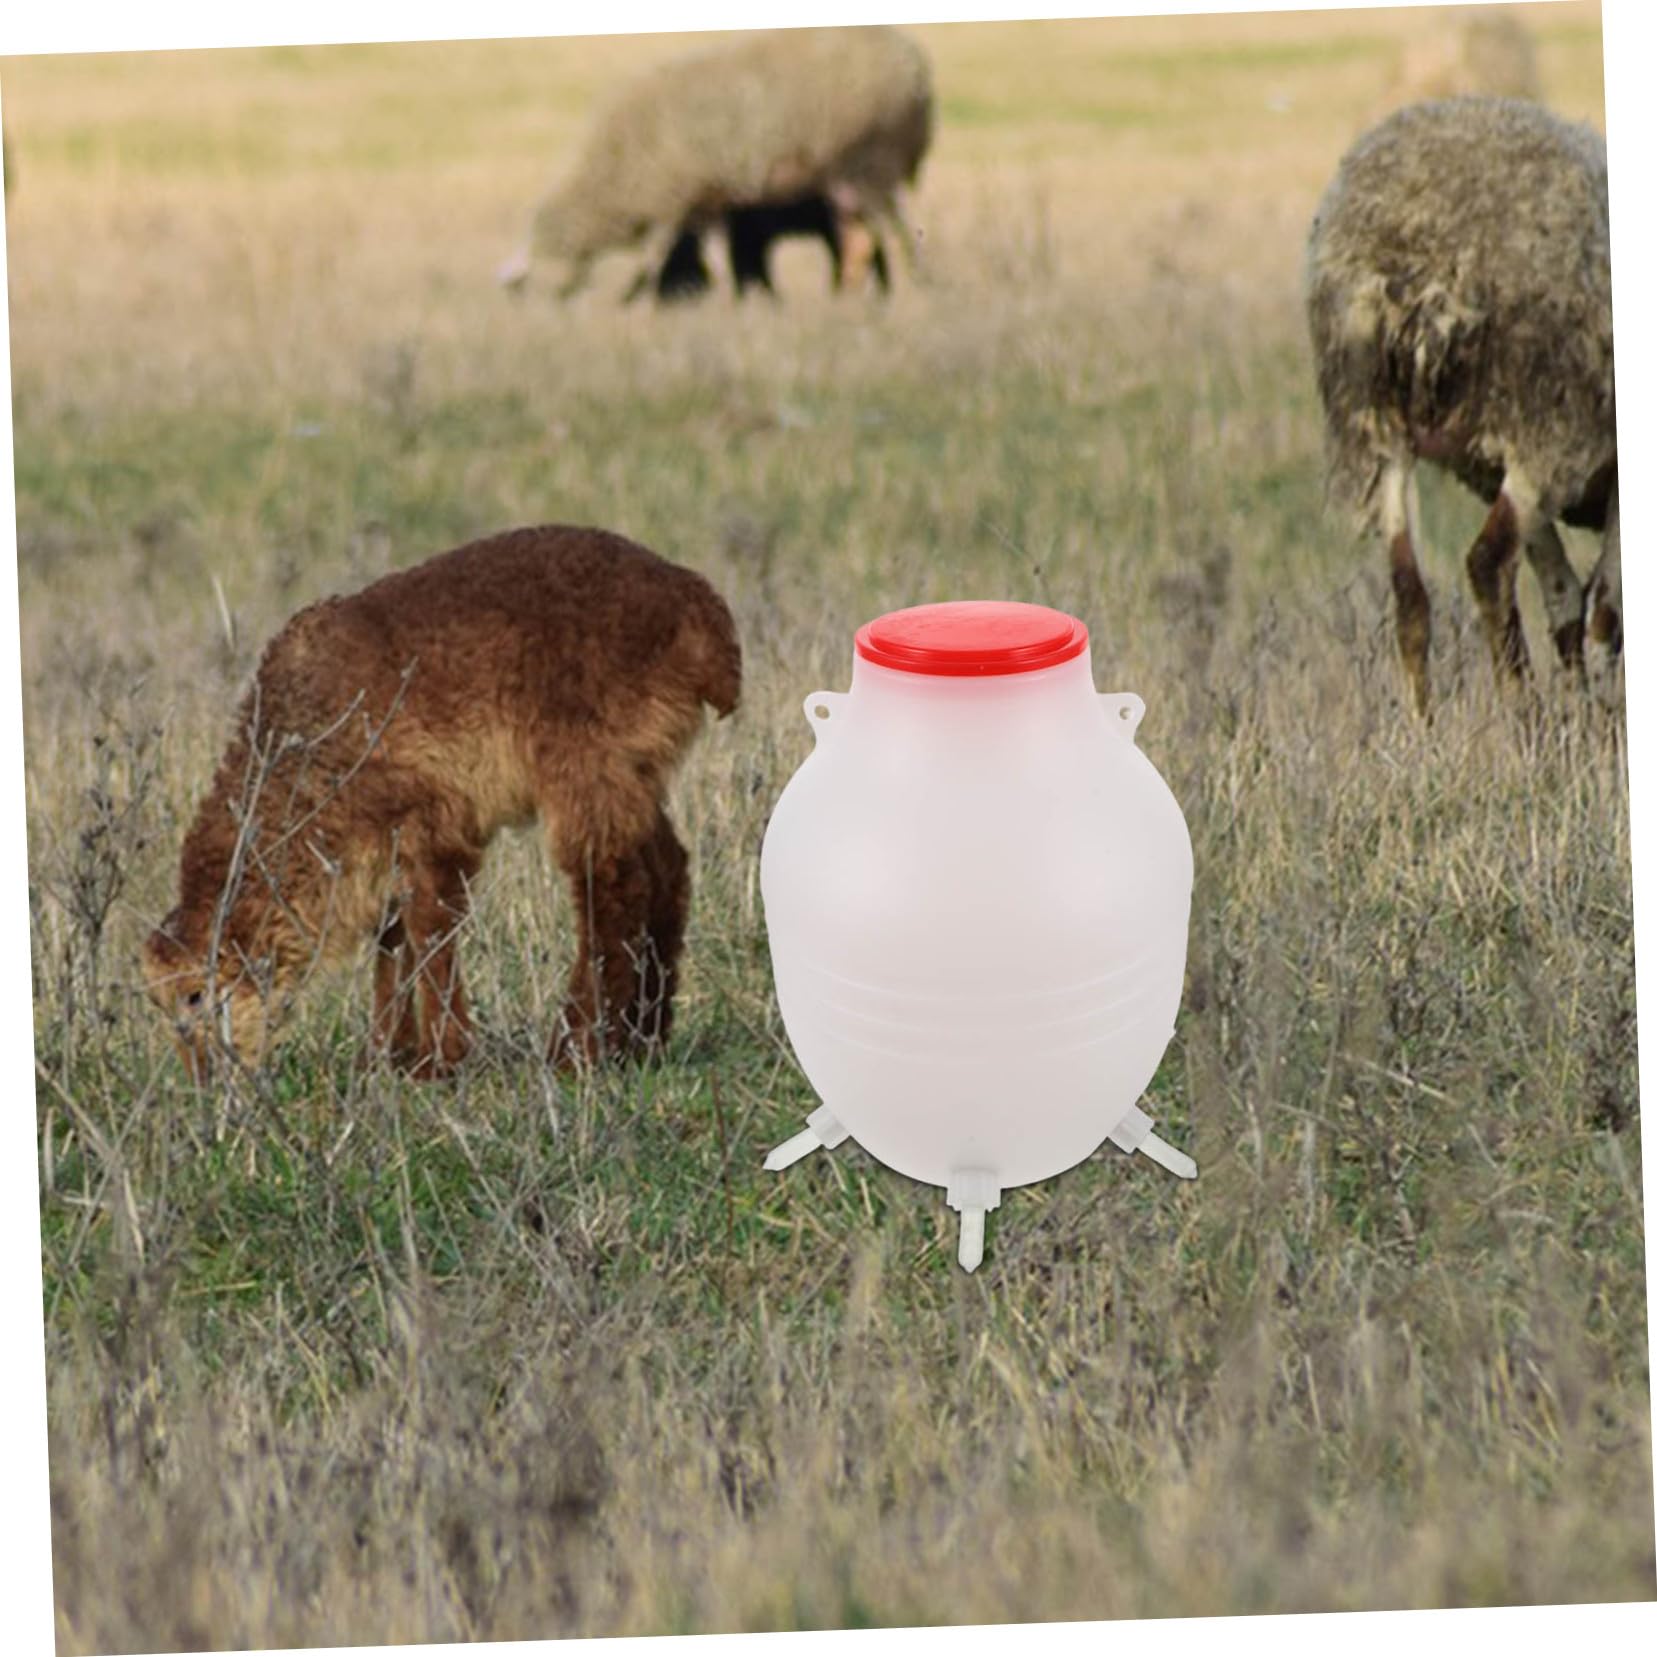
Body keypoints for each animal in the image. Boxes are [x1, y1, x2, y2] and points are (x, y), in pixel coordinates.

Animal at [142, 526, 741, 1080]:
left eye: (195, 994)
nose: (204, 1081)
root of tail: (698, 607)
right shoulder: (380, 848)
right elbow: (394, 941)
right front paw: (385, 1056)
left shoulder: (435, 825)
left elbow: (430, 931)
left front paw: (438, 1059)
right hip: (634, 769)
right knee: (667, 870)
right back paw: (646, 1036)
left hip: (585, 765)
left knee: (613, 888)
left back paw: (579, 1049)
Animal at [498, 26, 931, 300]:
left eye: (529, 286)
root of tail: (915, 63)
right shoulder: (707, 200)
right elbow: (717, 256)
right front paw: (730, 298)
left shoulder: (672, 202)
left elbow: (656, 259)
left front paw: (640, 298)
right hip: (848, 180)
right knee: (861, 239)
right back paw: (854, 297)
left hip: (874, 162)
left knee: (893, 231)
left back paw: (909, 288)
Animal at [1305, 97, 1618, 713]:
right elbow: (1605, 611)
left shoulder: (1498, 468)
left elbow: (1567, 599)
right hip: (1549, 425)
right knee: (1488, 564)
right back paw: (1523, 714)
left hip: (1378, 430)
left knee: (1409, 594)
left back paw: (1420, 728)